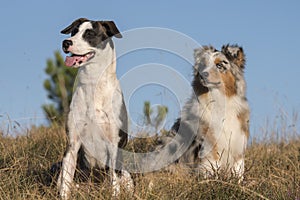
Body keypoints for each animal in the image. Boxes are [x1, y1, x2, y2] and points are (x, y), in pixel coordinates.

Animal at [58, 18, 133, 199]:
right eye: (74, 32)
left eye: (90, 34)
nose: (66, 43)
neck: (93, 83)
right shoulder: (72, 145)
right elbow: (65, 184)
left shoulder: (114, 145)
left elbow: (114, 183)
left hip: (127, 175)